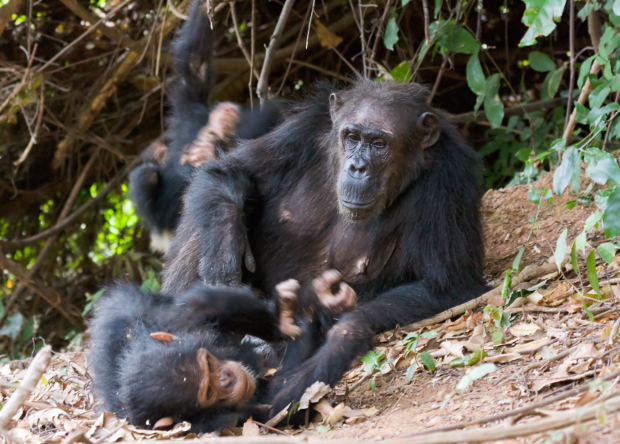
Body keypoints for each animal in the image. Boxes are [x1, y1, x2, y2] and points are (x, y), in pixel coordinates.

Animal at [89, 268, 356, 432]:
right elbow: (281, 402)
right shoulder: (219, 422)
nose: (227, 378)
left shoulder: (171, 325)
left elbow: (199, 306)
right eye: (210, 391)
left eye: (209, 363)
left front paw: (286, 317)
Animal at [161, 80, 490, 416]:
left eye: (379, 144)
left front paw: (345, 329)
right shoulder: (303, 130)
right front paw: (224, 252)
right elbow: (229, 170)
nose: (358, 166)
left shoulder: (448, 179)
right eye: (352, 137)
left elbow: (446, 285)